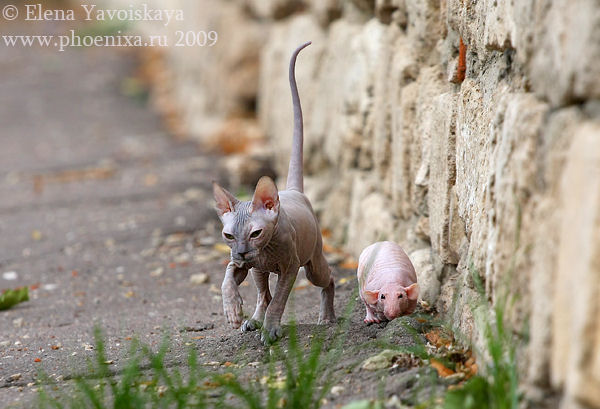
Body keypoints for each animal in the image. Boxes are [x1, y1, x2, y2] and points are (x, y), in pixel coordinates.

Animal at [211, 41, 336, 342]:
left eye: (256, 233)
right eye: (228, 235)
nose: (243, 251)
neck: (264, 251)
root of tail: (292, 191)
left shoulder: (290, 268)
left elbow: (279, 300)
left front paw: (271, 329)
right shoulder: (241, 264)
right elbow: (227, 278)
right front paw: (233, 311)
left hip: (312, 263)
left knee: (328, 278)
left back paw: (326, 318)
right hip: (259, 271)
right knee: (262, 293)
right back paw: (253, 319)